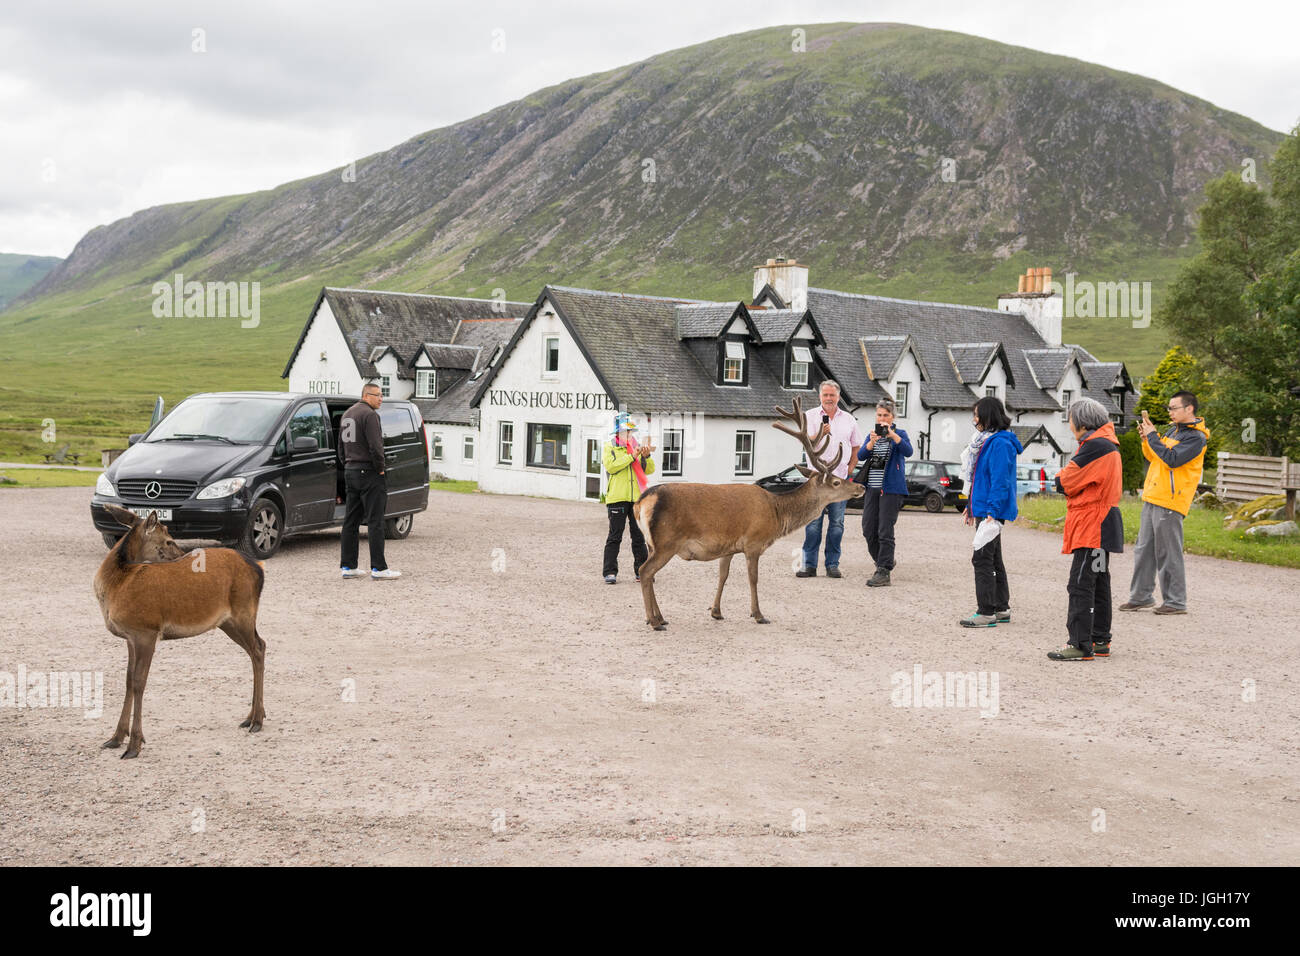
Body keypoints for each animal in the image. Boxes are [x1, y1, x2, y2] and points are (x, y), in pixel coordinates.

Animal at [93, 504, 266, 759]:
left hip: (243, 612)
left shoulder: (147, 630)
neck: (116, 588)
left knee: (259, 648)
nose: (181, 556)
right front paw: (115, 738)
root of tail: (259, 569)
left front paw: (134, 744)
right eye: (167, 540)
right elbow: (128, 680)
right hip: (228, 622)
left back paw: (257, 720)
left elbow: (139, 682)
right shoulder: (130, 637)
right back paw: (250, 717)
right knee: (258, 647)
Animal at [631, 400, 863, 632]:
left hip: (652, 543)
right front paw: (758, 614)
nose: (860, 487)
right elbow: (753, 579)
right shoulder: (753, 542)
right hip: (666, 541)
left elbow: (723, 576)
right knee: (645, 571)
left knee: (650, 573)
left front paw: (716, 611)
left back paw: (659, 617)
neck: (776, 513)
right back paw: (654, 621)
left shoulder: (728, 546)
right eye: (836, 482)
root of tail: (642, 501)